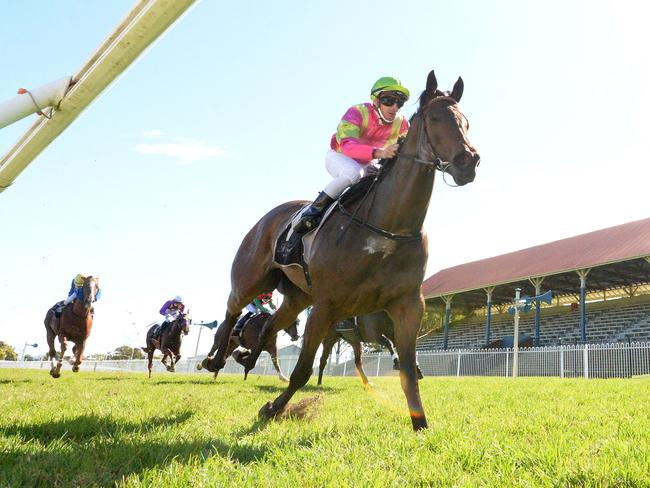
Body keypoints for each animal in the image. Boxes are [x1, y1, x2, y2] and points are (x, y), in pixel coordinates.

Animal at [202, 69, 480, 430]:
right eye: (435, 118)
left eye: (466, 122)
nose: (468, 161)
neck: (386, 229)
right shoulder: (326, 305)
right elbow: (302, 370)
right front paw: (274, 408)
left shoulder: (407, 305)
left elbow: (408, 370)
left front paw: (421, 425)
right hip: (251, 280)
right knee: (231, 312)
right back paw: (215, 358)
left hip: (296, 298)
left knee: (268, 324)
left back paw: (246, 357)